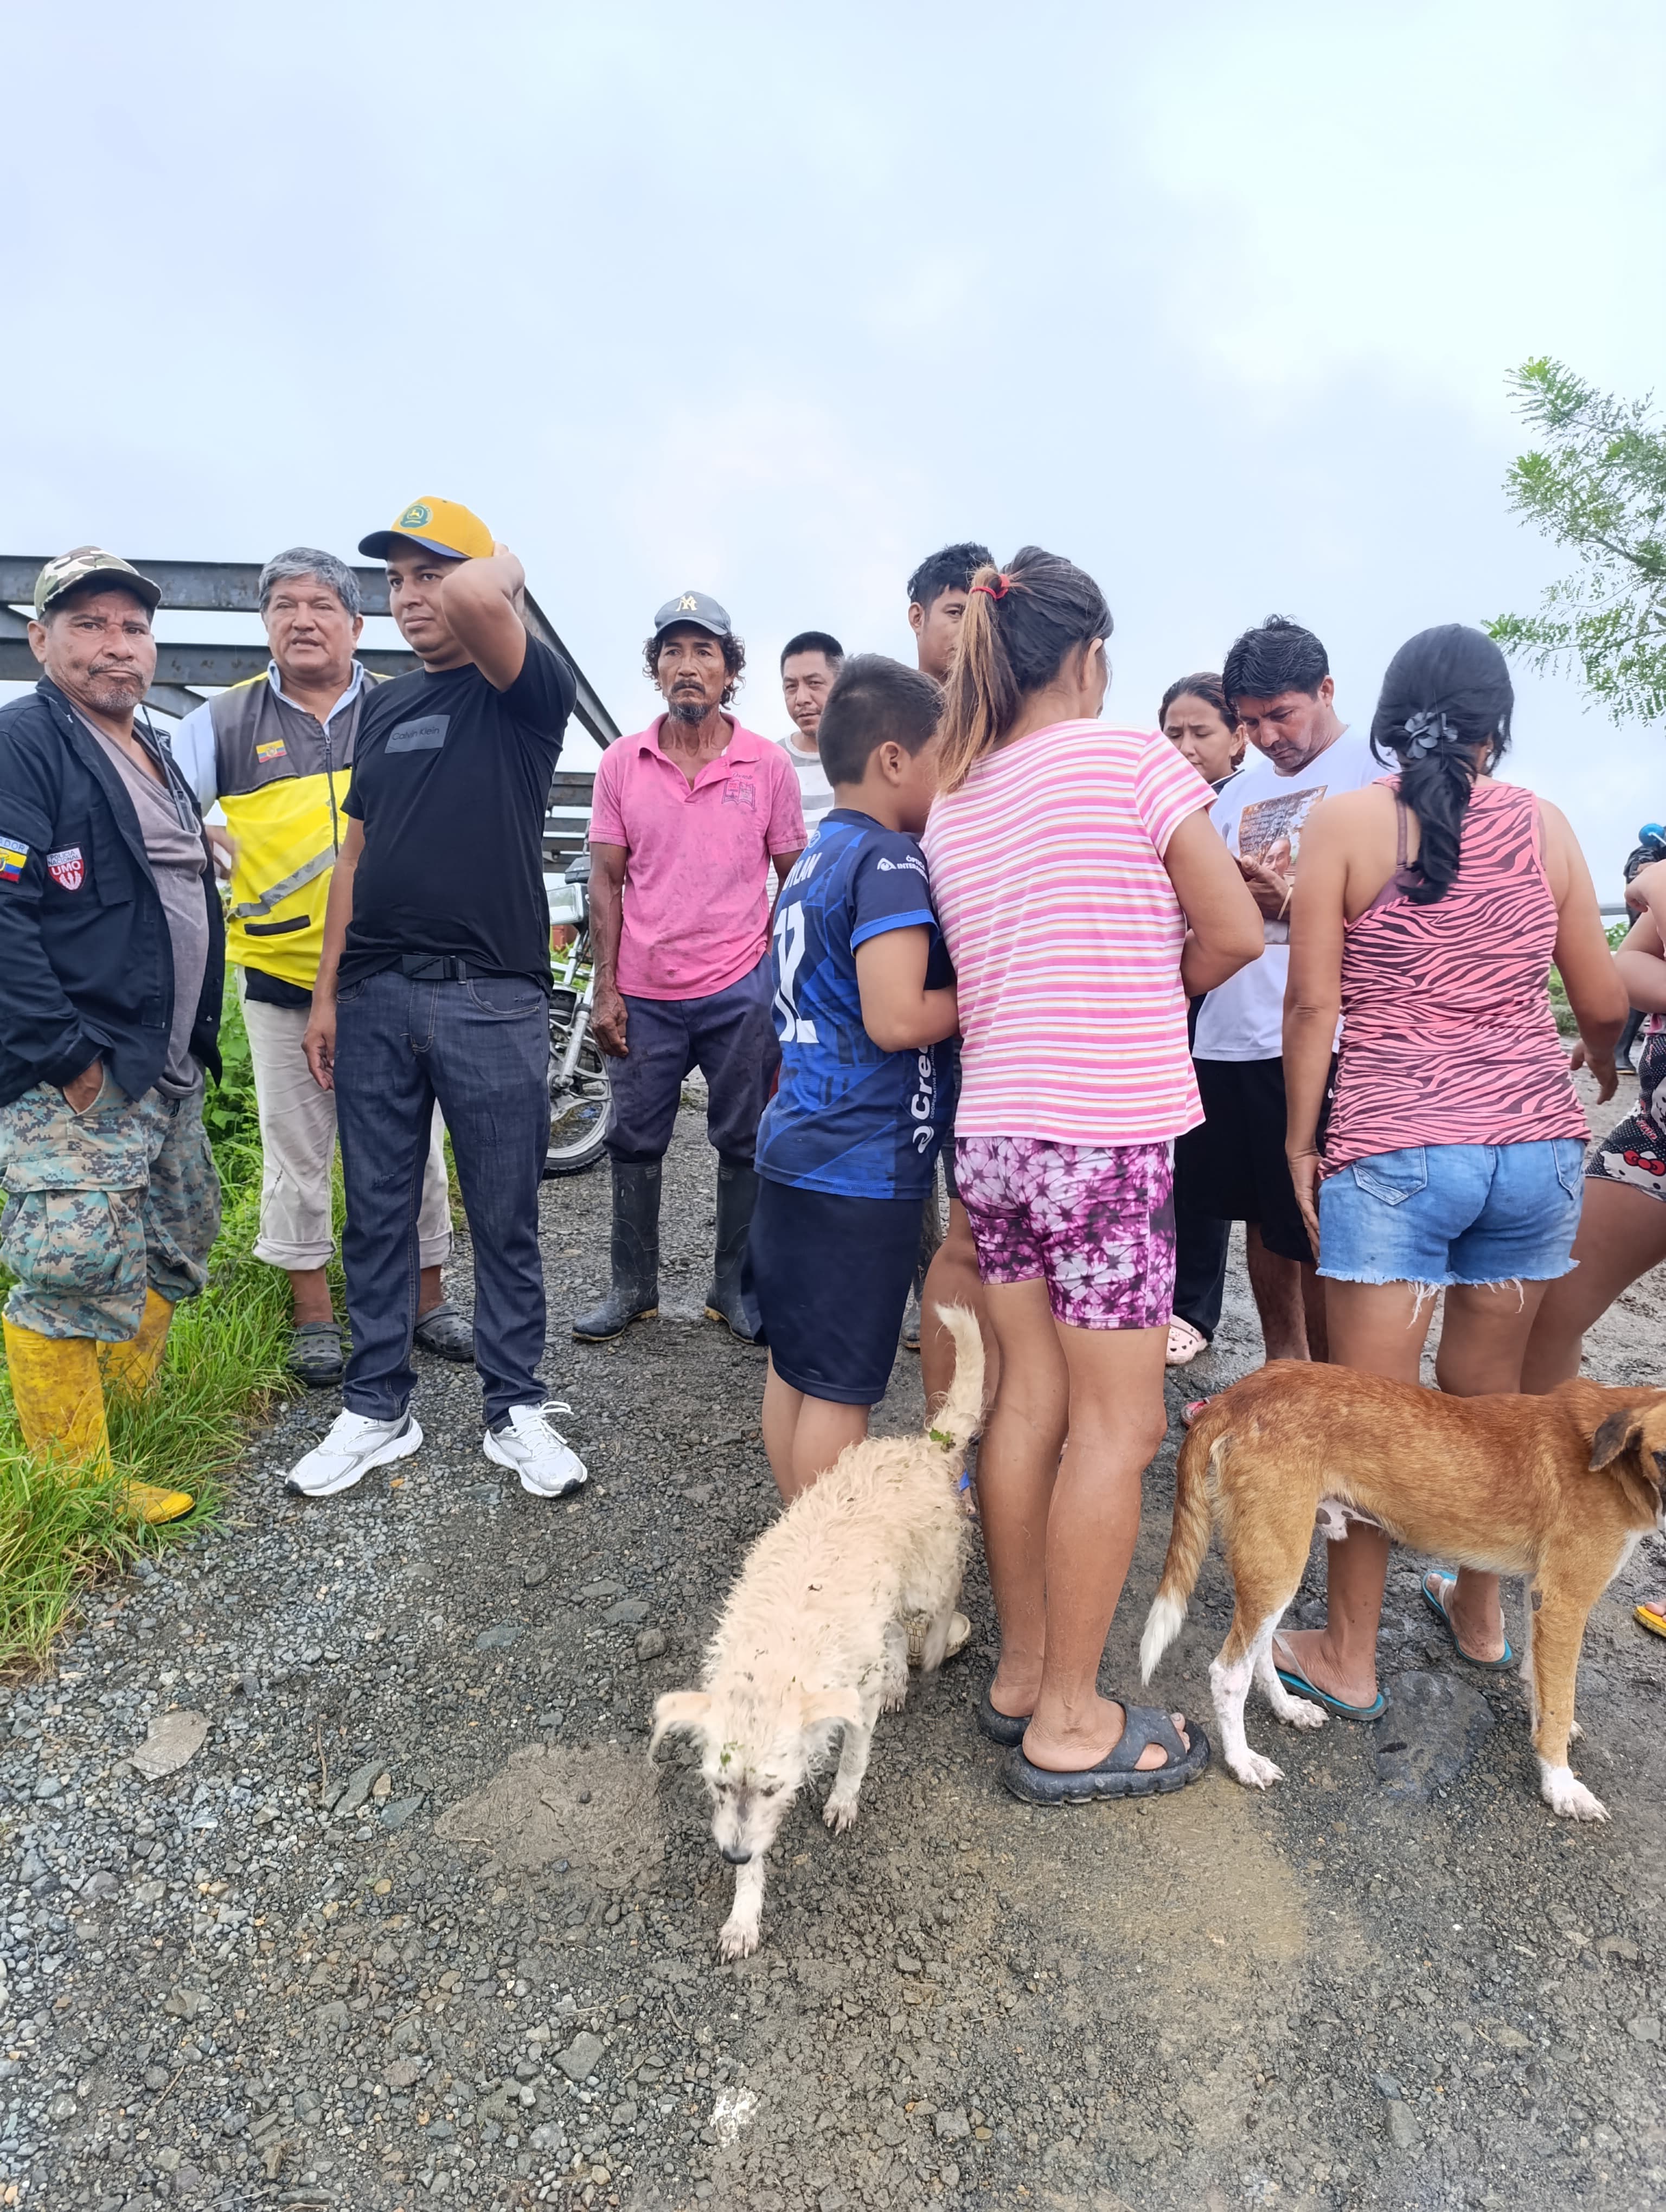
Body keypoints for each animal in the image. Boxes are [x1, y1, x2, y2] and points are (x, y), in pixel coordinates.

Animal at [650, 1304, 983, 1959]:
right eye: (717, 1785)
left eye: (774, 1789)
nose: (733, 1855)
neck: (776, 1654)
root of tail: (920, 1448)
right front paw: (744, 1911)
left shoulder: (851, 1705)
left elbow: (854, 1757)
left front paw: (842, 1800)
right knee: (893, 1637)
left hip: (929, 1578)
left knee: (944, 1596)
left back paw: (934, 1648)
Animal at [1139, 1362, 1666, 1822]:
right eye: (1662, 1455)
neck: (1611, 1456)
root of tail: (1234, 1398)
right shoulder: (1565, 1601)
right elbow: (1560, 1701)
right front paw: (1561, 1786)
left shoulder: (1541, 1592)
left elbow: (1542, 1679)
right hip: (1278, 1559)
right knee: (1228, 1672)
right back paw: (1243, 1761)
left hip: (1275, 1560)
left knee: (1259, 1649)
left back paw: (1288, 1708)